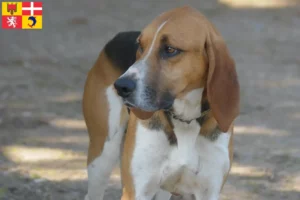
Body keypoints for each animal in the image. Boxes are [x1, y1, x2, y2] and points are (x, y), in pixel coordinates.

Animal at [82, 5, 239, 200]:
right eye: (140, 46)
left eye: (170, 49)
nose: (121, 86)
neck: (185, 120)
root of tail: (117, 36)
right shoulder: (137, 191)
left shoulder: (208, 191)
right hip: (102, 154)